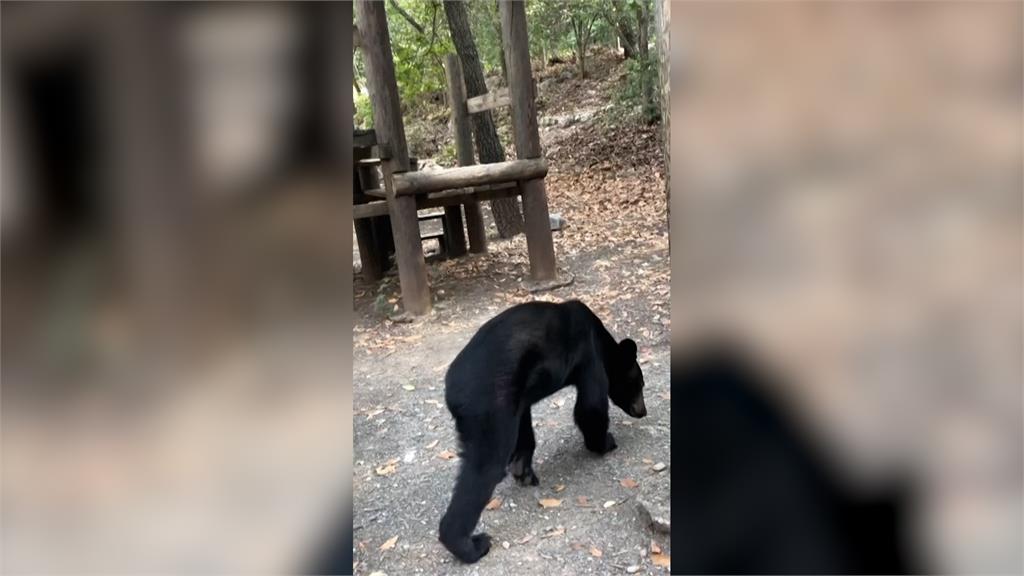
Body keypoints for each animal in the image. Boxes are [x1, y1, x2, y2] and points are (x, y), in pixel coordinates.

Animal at [436, 297, 643, 561]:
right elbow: (590, 406)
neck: (600, 338)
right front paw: (606, 442)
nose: (643, 411)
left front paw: (522, 469)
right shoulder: (588, 354)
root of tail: (451, 395)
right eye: (639, 384)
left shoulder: (519, 396)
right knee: (484, 468)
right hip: (488, 407)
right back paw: (471, 545)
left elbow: (525, 427)